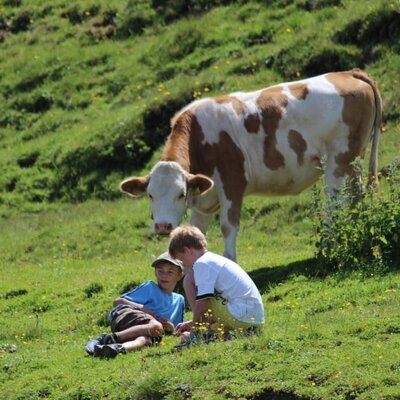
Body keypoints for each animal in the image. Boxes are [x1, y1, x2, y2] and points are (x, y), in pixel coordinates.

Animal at [119, 69, 382, 260]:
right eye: (150, 195)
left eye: (180, 194)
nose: (163, 226)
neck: (200, 135)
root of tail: (349, 73)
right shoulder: (204, 199)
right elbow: (195, 231)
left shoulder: (232, 180)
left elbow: (228, 226)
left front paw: (230, 261)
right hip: (355, 159)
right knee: (357, 195)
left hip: (338, 159)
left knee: (334, 204)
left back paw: (330, 245)